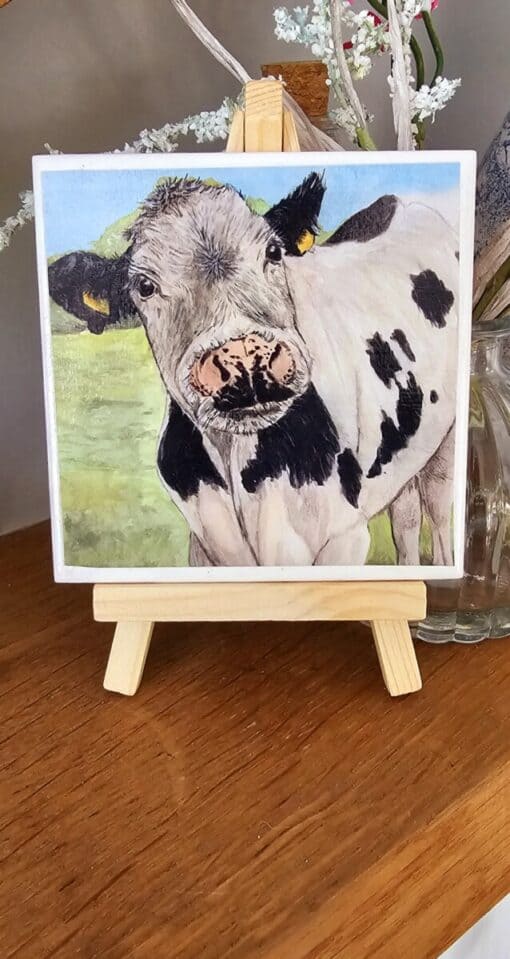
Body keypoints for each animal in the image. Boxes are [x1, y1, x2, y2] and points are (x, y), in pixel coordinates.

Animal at [47, 171, 458, 568]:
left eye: (273, 252)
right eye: (144, 286)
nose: (244, 355)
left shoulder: (344, 537)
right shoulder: (204, 542)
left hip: (445, 438)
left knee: (437, 509)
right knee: (406, 517)